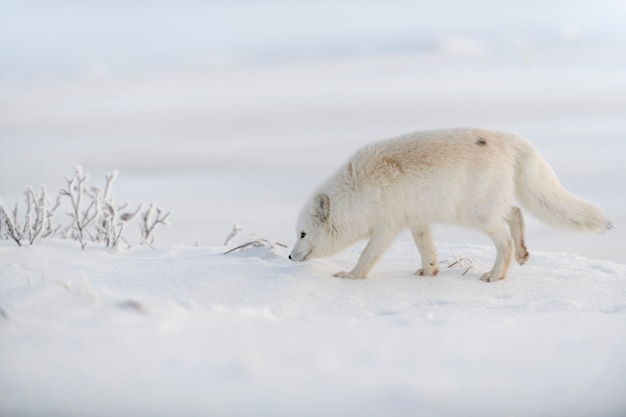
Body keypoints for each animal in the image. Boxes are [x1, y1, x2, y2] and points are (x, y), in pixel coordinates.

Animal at [290, 128, 612, 282]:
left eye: (303, 234)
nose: (291, 257)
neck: (356, 192)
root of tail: (511, 140)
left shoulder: (387, 226)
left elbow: (367, 256)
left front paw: (351, 276)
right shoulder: (415, 220)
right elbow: (427, 250)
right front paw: (430, 272)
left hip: (479, 215)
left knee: (505, 239)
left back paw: (496, 275)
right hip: (489, 207)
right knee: (516, 213)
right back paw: (522, 253)